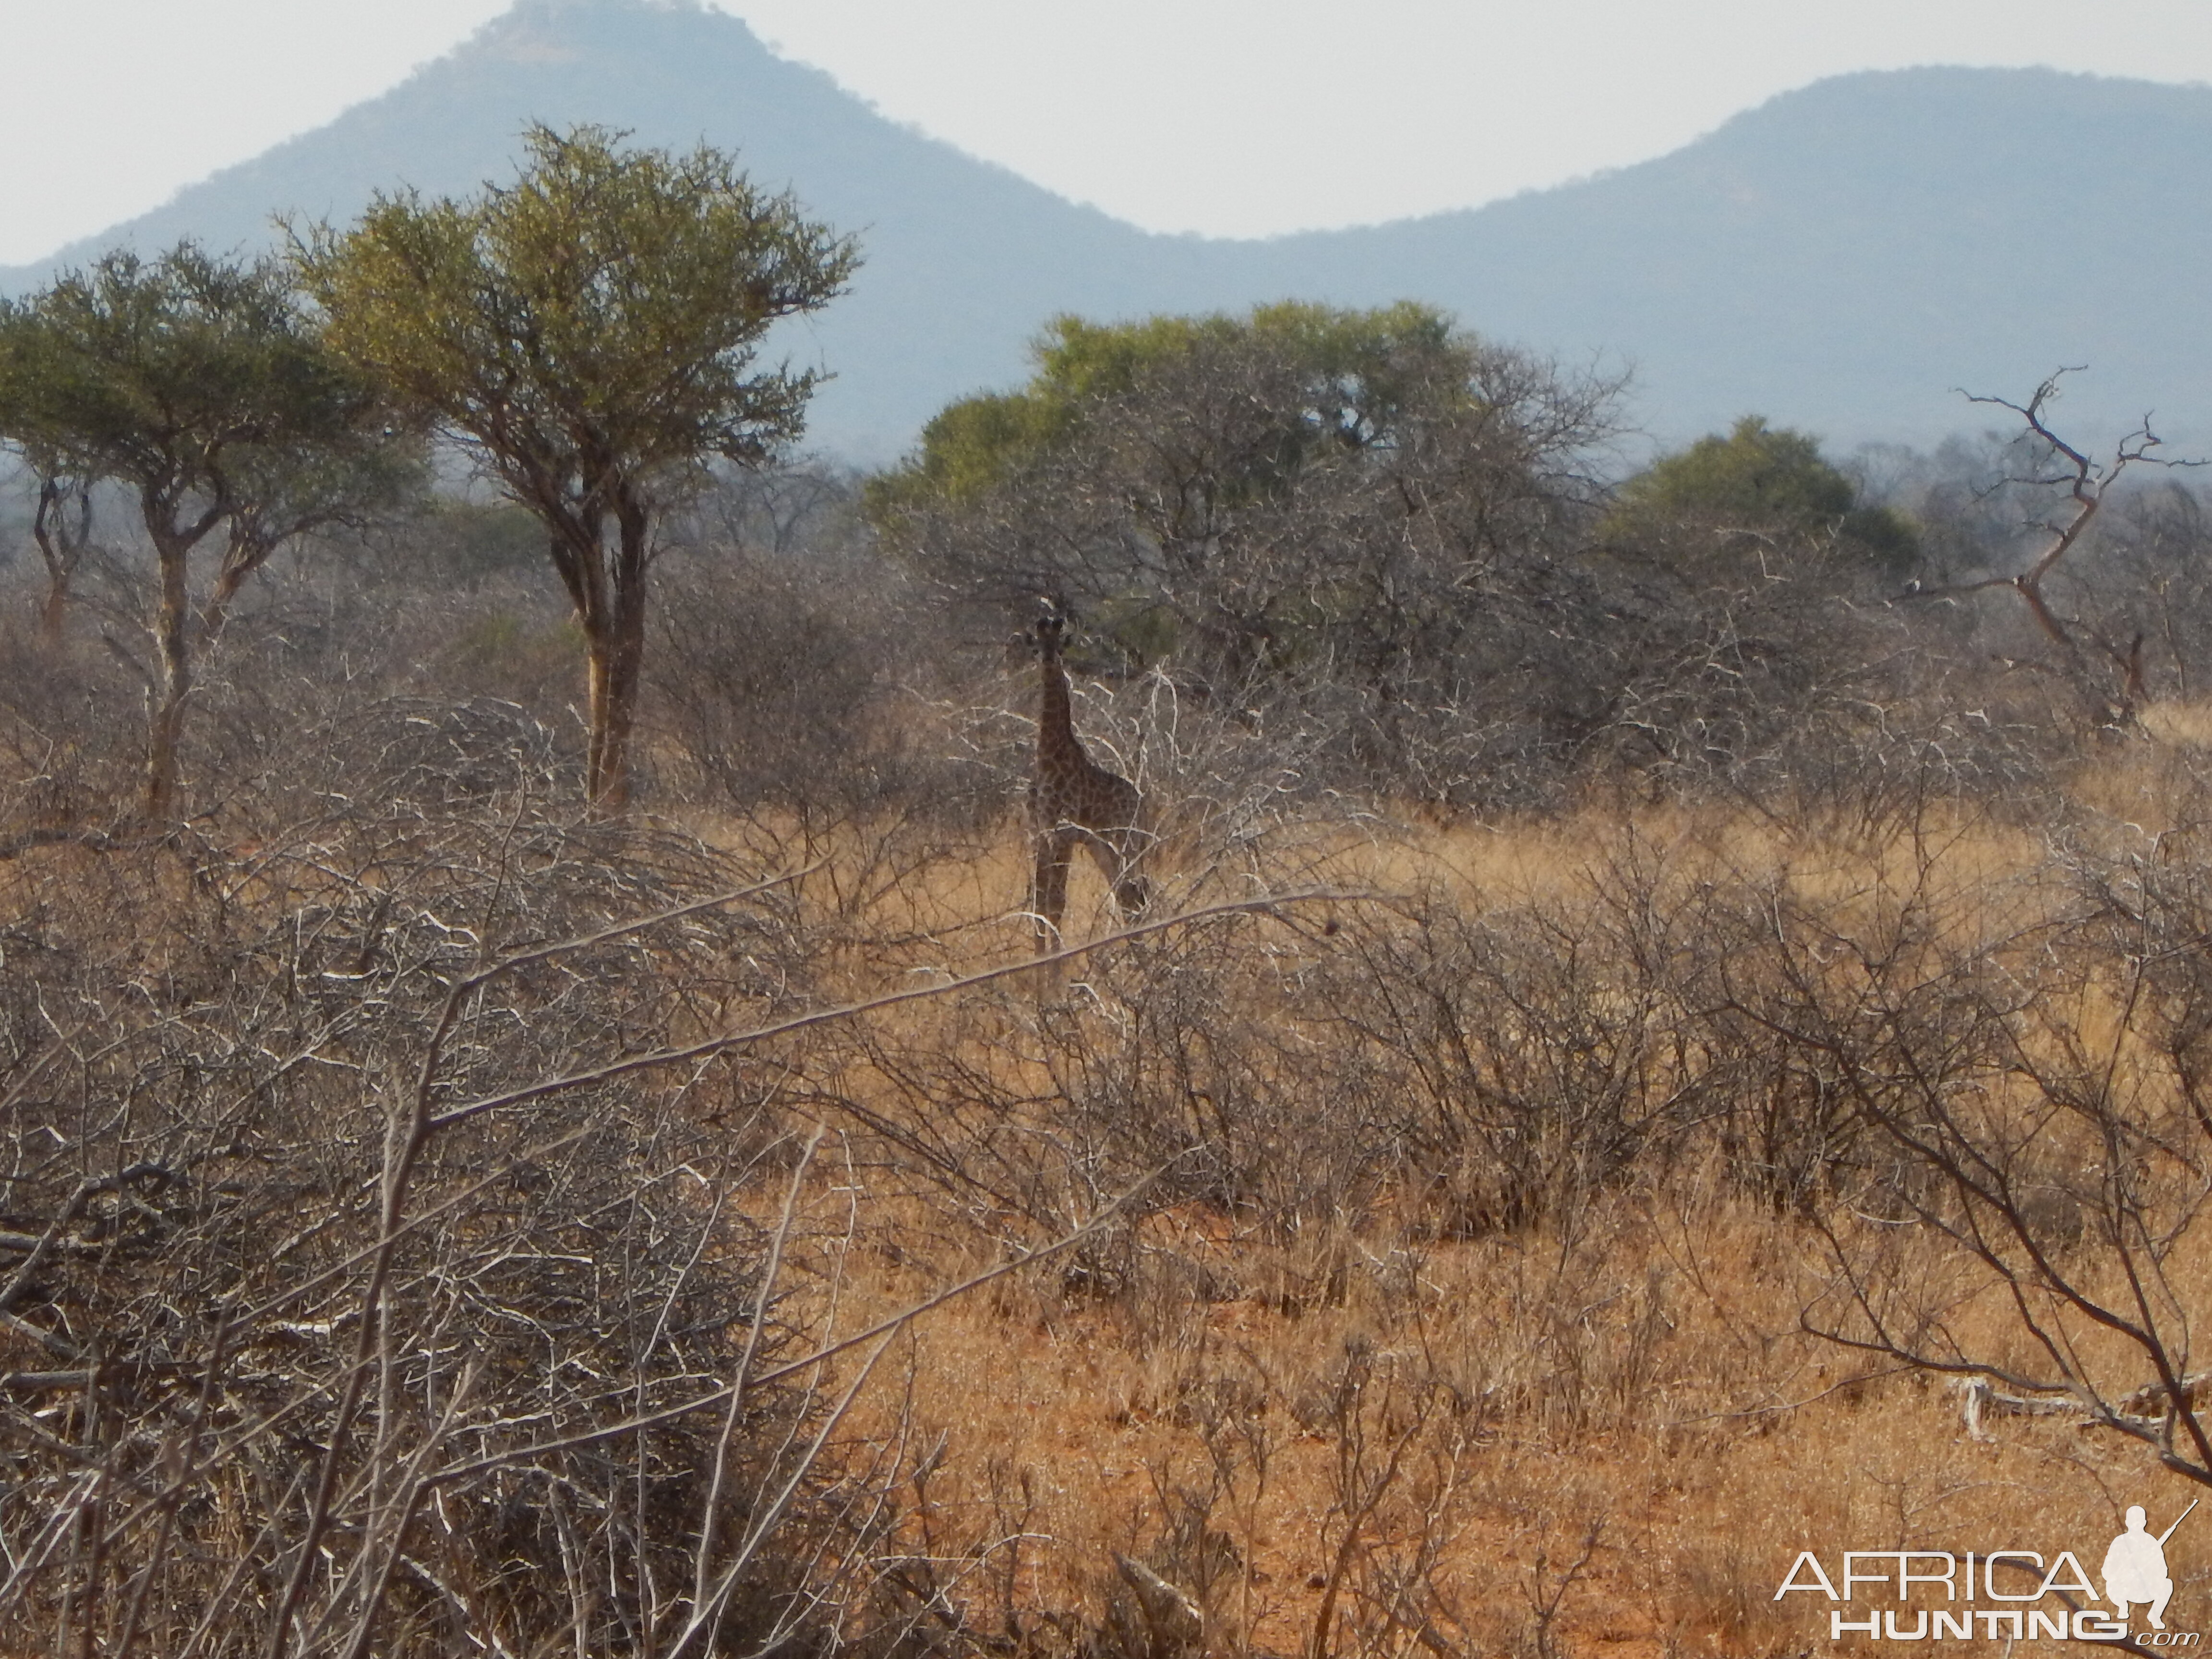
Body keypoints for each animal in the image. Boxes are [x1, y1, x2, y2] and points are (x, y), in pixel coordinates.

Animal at [1022, 606, 1150, 955]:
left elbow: (1056, 903)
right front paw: (1037, 958)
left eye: (1060, 646)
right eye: (1037, 645)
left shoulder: (1063, 833)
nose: (1049, 660)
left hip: (1125, 841)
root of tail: (1143, 805)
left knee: (1136, 893)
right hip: (1102, 846)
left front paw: (1055, 960)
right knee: (1129, 893)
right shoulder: (1040, 832)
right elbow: (1039, 902)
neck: (1047, 756)